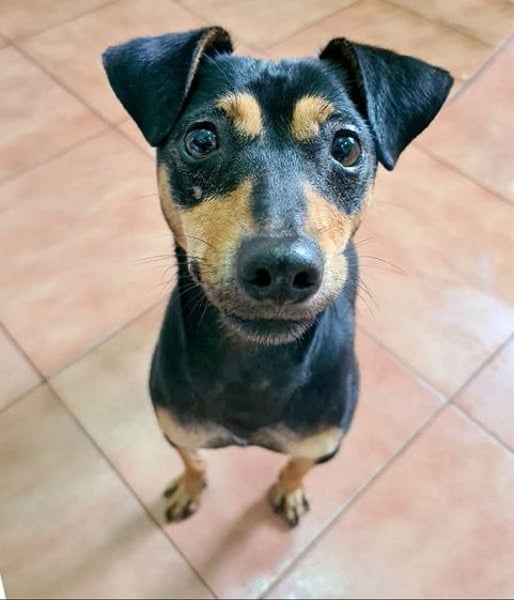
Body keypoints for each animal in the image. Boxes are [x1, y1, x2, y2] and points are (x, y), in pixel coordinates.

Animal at [102, 26, 452, 527]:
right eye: (201, 140)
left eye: (347, 147)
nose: (283, 267)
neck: (256, 364)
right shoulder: (176, 427)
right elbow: (193, 458)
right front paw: (190, 486)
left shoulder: (323, 442)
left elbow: (296, 465)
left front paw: (288, 491)